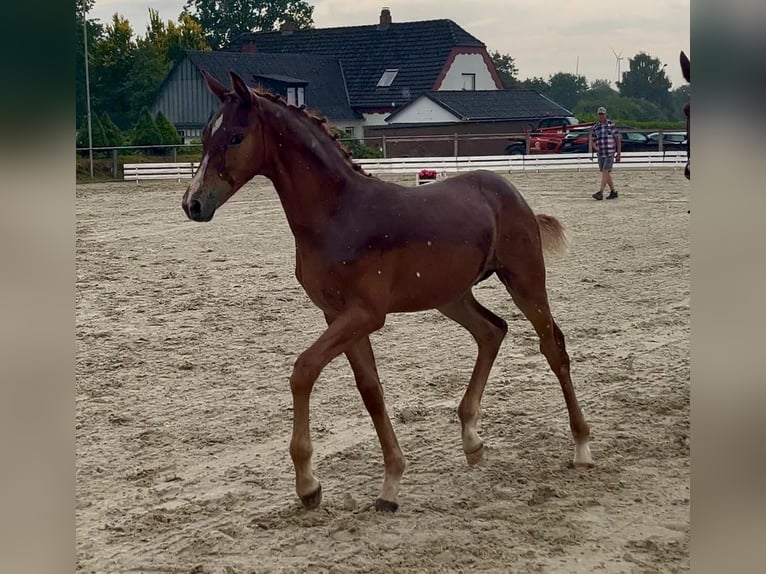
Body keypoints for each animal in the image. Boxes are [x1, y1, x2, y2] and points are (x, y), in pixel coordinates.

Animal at [181, 70, 593, 512]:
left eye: (236, 136)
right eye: (204, 136)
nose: (193, 203)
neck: (338, 215)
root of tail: (510, 192)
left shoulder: (364, 314)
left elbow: (304, 370)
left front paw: (308, 484)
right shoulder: (337, 315)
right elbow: (370, 390)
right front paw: (389, 482)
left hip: (524, 279)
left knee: (552, 345)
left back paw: (582, 446)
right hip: (450, 295)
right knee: (492, 331)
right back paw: (471, 440)